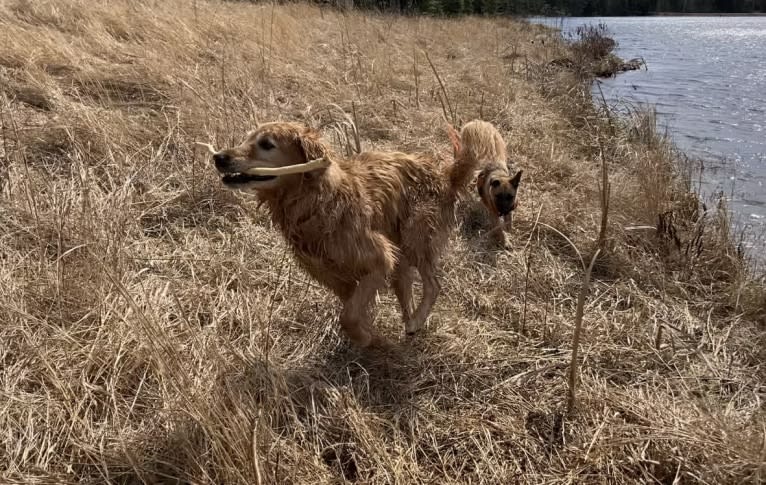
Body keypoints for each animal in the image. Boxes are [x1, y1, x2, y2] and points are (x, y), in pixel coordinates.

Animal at [210, 123, 484, 346]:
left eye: (267, 144)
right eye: (247, 138)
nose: (218, 157)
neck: (316, 203)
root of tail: (445, 175)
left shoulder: (378, 260)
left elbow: (348, 317)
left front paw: (366, 339)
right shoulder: (335, 277)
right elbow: (352, 311)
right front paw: (374, 336)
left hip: (415, 238)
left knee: (434, 285)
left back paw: (415, 321)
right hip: (400, 259)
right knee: (406, 294)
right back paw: (410, 327)